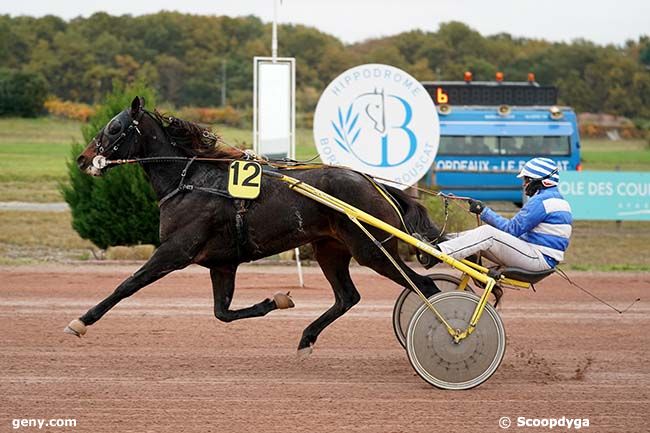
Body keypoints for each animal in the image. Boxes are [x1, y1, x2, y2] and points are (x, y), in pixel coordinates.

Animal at [69, 96, 440, 352]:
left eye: (114, 128)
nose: (83, 159)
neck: (190, 181)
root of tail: (373, 183)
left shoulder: (175, 251)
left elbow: (127, 285)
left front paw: (81, 321)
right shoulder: (222, 263)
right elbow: (222, 313)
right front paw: (276, 301)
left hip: (372, 250)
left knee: (425, 287)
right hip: (330, 249)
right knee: (348, 297)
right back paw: (307, 338)